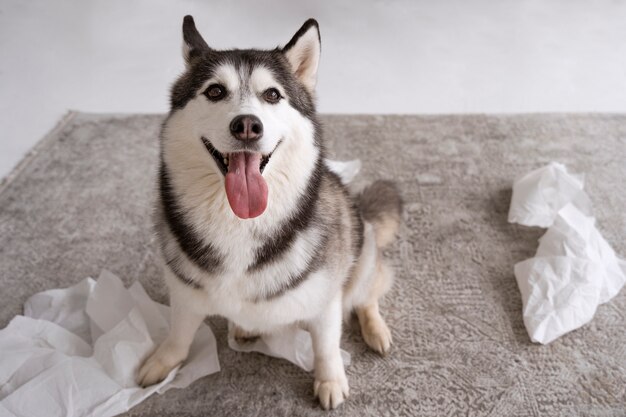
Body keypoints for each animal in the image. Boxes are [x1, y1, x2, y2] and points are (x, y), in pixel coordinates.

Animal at [136, 14, 400, 408]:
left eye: (272, 95)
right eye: (215, 91)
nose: (247, 125)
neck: (238, 222)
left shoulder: (325, 300)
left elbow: (327, 346)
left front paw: (330, 380)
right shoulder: (185, 290)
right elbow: (179, 334)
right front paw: (162, 362)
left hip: (361, 248)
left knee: (366, 295)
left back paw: (375, 330)